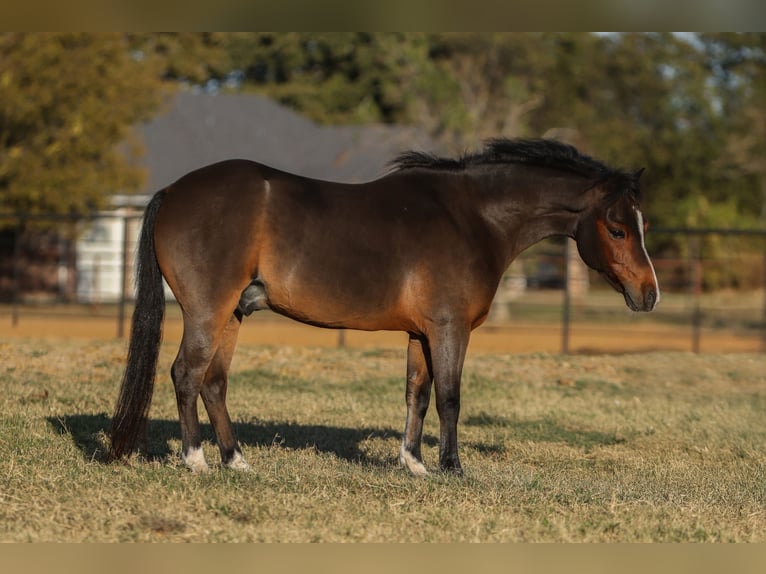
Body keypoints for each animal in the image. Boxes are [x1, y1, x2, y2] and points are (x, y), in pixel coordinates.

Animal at [109, 138, 659, 475]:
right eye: (616, 229)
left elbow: (417, 393)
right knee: (186, 374)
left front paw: (413, 463)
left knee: (214, 382)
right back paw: (196, 459)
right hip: (208, 311)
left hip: (234, 314)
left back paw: (236, 460)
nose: (649, 294)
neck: (473, 217)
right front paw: (452, 467)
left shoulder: (421, 332)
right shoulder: (450, 329)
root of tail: (173, 190)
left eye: (642, 224)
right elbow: (450, 396)